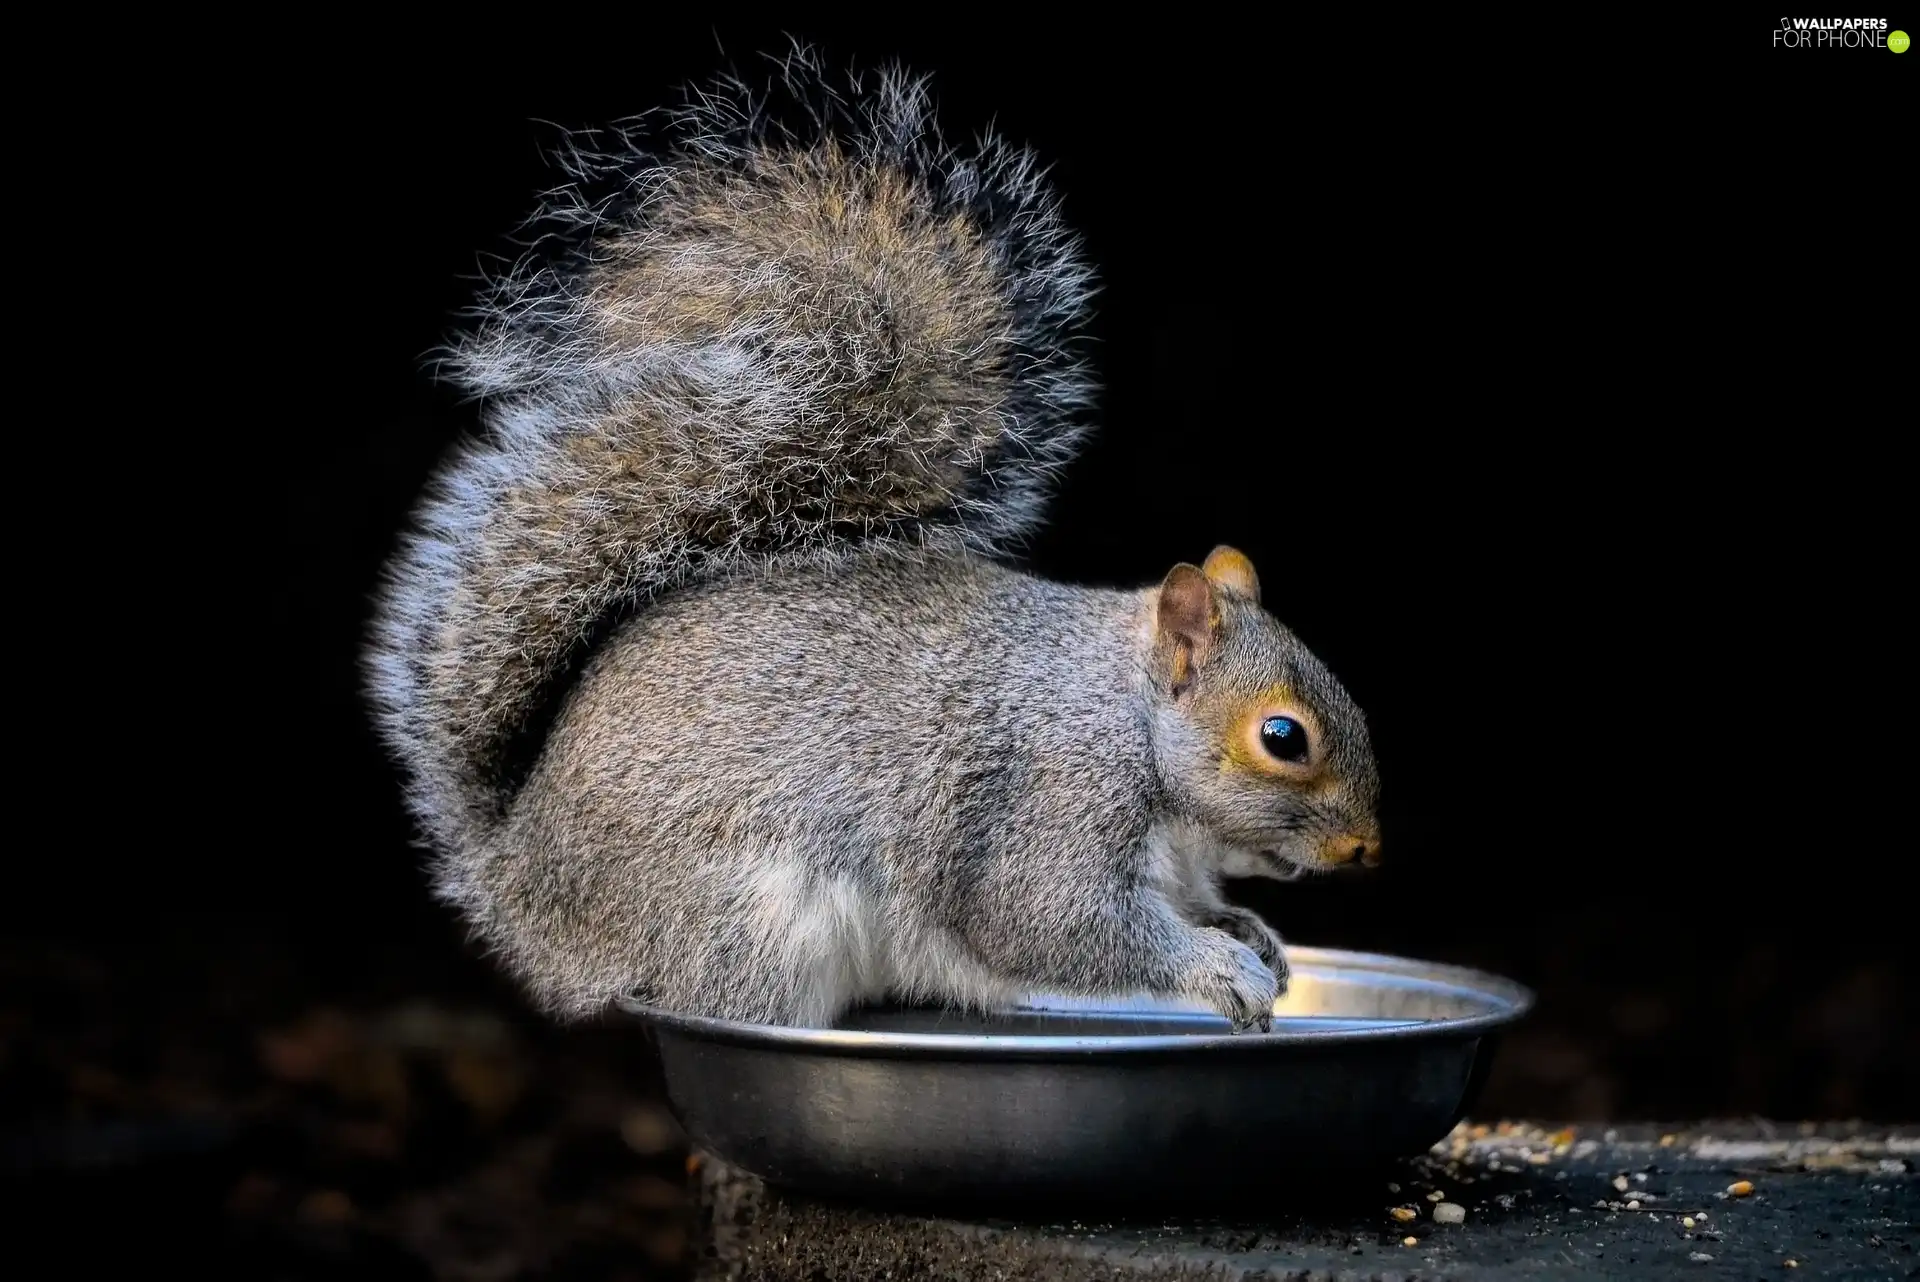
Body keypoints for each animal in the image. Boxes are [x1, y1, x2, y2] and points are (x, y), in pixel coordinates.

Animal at [362, 55, 1382, 1028]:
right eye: (1283, 737)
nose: (1367, 847)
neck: (1128, 717)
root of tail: (520, 881)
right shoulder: (1048, 804)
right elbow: (1051, 920)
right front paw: (1214, 965)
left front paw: (1247, 932)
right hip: (747, 922)